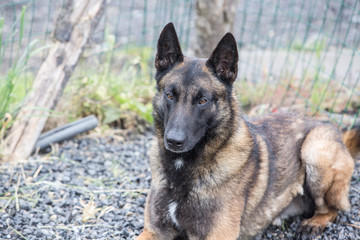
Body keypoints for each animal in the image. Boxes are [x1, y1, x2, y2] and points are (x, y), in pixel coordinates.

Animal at [136, 22, 358, 240]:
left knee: (331, 209)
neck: (184, 167)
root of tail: (327, 125)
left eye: (203, 100)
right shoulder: (153, 231)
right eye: (170, 95)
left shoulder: (218, 235)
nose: (174, 141)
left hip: (314, 151)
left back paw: (313, 224)